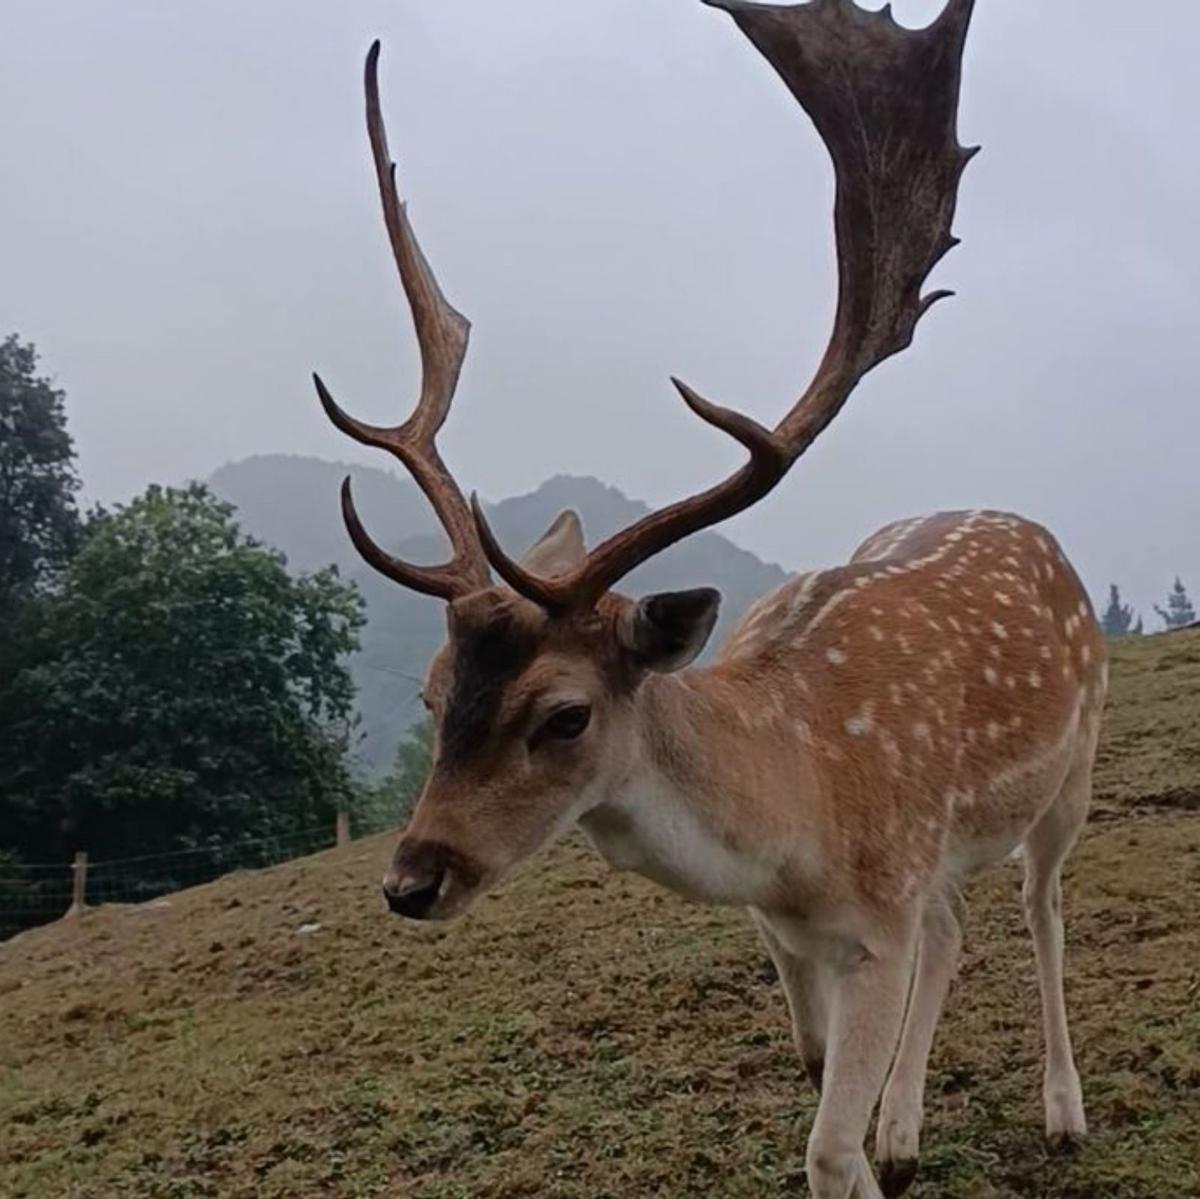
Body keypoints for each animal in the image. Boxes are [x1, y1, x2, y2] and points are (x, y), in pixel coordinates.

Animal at [316, 4, 1104, 1195]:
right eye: (431, 693)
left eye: (565, 714)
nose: (410, 880)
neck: (795, 826)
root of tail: (1034, 529)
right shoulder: (792, 933)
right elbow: (821, 1085)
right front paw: (884, 1140)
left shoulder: (880, 912)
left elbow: (825, 1145)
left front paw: (877, 1141)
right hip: (949, 853)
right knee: (961, 921)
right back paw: (908, 1130)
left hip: (1073, 767)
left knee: (1041, 903)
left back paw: (1063, 1110)